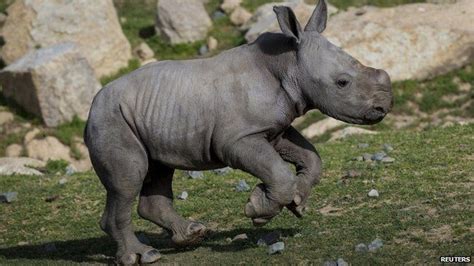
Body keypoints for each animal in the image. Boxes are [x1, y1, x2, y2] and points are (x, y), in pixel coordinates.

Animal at [84, 0, 392, 264]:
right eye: (342, 83)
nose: (385, 106)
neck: (287, 64)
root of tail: (92, 107)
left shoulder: (276, 127)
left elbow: (311, 157)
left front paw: (297, 203)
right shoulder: (237, 139)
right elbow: (277, 171)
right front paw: (258, 211)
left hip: (145, 115)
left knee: (158, 170)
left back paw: (193, 234)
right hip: (111, 119)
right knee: (128, 180)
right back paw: (142, 256)